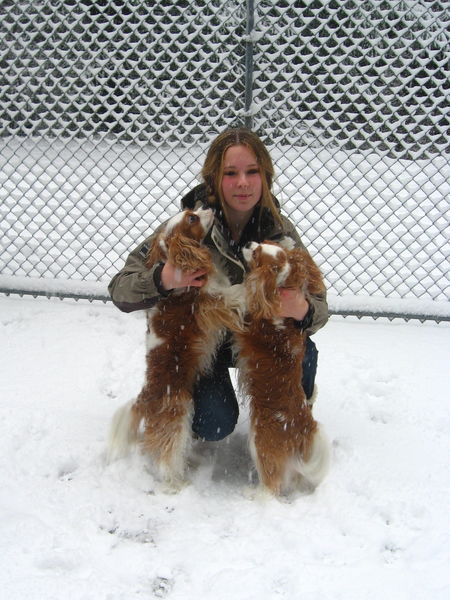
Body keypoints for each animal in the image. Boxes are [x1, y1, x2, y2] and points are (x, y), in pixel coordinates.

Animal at [106, 209, 243, 490]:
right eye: (192, 218)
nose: (208, 208)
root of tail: (144, 398)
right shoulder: (208, 305)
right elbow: (233, 293)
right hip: (177, 415)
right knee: (166, 453)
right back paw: (175, 483)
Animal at [236, 240, 330, 496]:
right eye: (262, 242)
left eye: (256, 253)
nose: (248, 242)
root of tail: (305, 431)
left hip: (260, 443)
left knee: (272, 486)